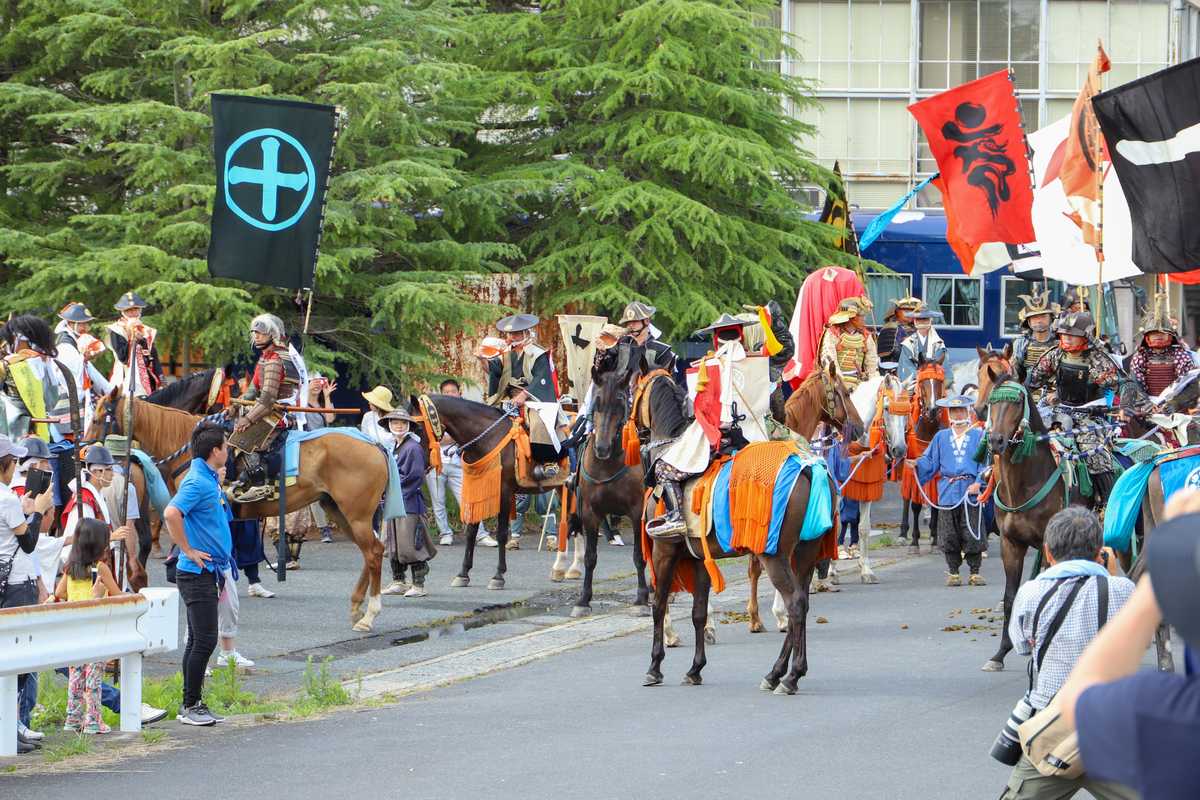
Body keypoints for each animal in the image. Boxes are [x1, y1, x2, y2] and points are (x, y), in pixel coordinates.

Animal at [90, 388, 388, 633]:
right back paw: (356, 607)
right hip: (338, 509)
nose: (85, 449)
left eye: (98, 419)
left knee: (373, 553)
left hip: (357, 514)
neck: (189, 448)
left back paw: (369, 615)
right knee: (371, 551)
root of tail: (375, 446)